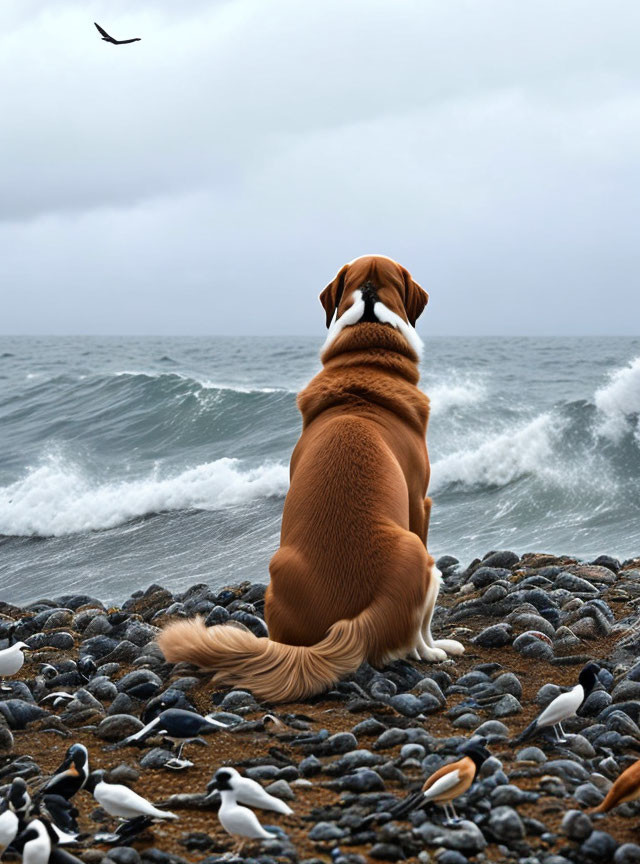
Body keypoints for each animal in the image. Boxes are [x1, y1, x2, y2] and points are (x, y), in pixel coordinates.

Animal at [158, 253, 462, 700]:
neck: (367, 339)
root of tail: (357, 621)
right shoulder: (420, 502)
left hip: (278, 572)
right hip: (424, 561)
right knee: (416, 637)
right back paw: (438, 648)